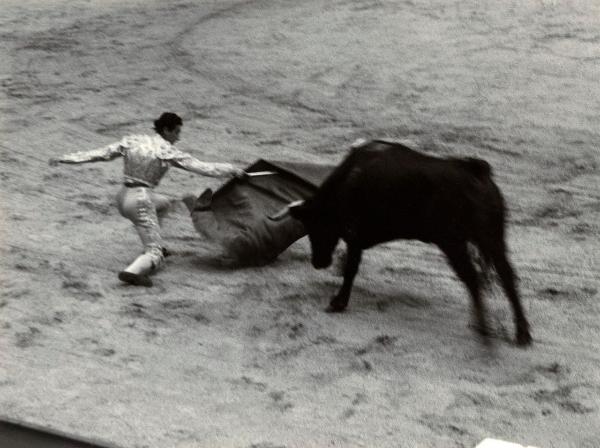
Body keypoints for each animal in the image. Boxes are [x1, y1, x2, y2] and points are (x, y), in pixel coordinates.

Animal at [274, 140, 532, 346]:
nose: (318, 262)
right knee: (507, 277)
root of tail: (475, 169)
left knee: (473, 279)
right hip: (492, 239)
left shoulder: (354, 236)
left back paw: (485, 332)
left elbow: (350, 269)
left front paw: (338, 303)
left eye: (316, 226)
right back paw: (521, 333)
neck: (347, 181)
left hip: (453, 242)